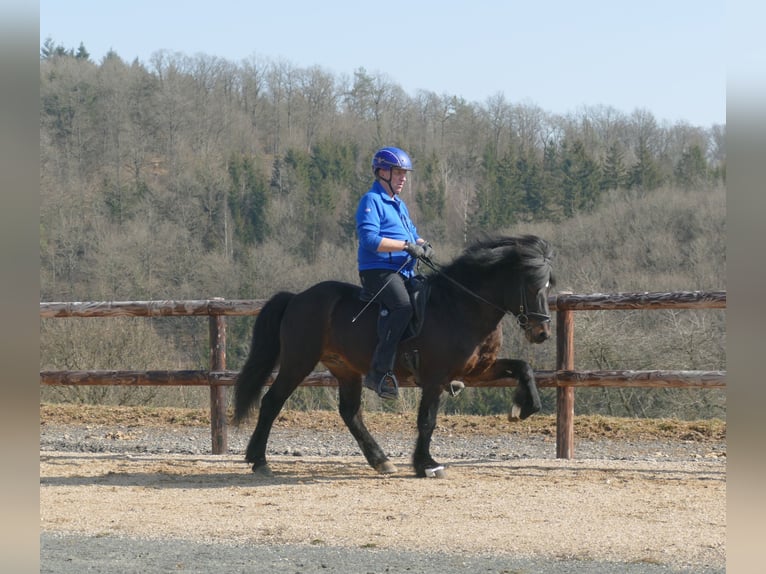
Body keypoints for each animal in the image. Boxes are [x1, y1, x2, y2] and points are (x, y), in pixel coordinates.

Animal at [233, 234, 555, 478]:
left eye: (548, 285)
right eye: (531, 286)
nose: (541, 333)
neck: (461, 307)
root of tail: (297, 297)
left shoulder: (477, 371)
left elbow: (524, 368)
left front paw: (523, 407)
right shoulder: (435, 378)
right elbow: (427, 420)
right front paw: (425, 464)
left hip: (346, 369)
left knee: (350, 413)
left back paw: (380, 460)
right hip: (298, 362)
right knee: (272, 402)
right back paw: (259, 461)